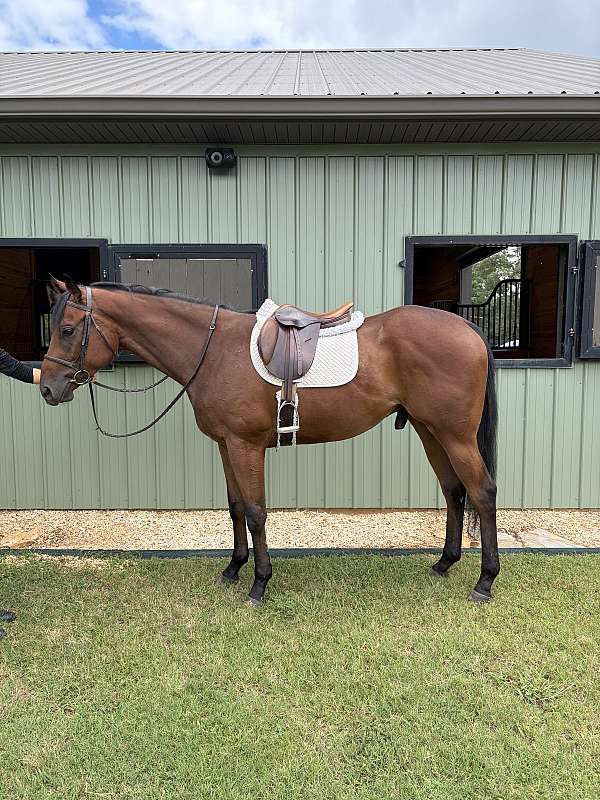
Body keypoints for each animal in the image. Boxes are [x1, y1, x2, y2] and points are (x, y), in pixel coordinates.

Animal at [40, 276, 499, 606]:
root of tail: (469, 328)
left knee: (482, 492)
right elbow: (236, 508)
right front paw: (233, 569)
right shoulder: (226, 444)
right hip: (429, 430)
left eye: (68, 329)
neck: (214, 350)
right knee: (454, 491)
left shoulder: (246, 446)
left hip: (455, 436)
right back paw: (444, 563)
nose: (47, 388)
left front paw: (259, 584)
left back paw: (485, 581)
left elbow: (257, 512)